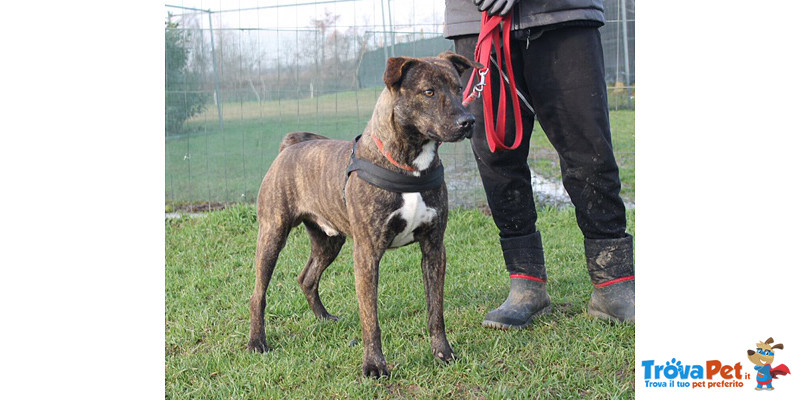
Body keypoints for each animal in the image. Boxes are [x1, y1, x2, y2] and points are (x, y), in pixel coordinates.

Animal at [247, 53, 478, 378]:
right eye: (428, 92)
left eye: (459, 89)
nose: (468, 121)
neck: (409, 164)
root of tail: (289, 147)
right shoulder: (367, 253)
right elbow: (371, 319)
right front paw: (374, 366)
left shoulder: (434, 248)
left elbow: (436, 311)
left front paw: (443, 353)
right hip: (272, 234)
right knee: (259, 293)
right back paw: (257, 342)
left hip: (329, 241)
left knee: (307, 278)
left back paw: (323, 318)